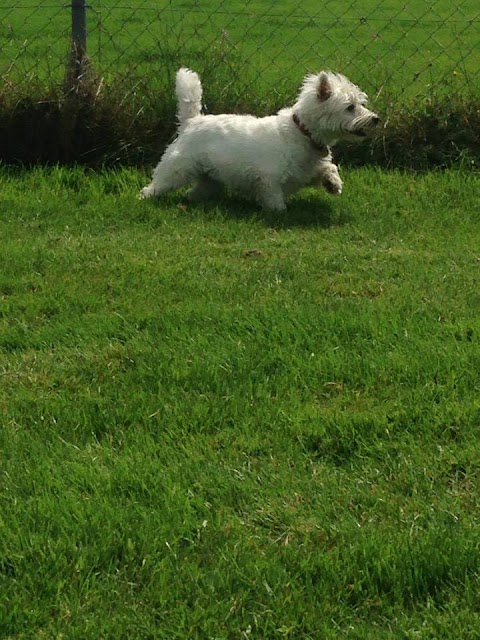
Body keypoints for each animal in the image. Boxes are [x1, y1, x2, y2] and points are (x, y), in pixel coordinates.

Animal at [140, 69, 378, 211]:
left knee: (197, 191)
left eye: (361, 104)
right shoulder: (268, 178)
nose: (376, 119)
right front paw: (279, 212)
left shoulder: (306, 170)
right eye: (350, 107)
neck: (303, 133)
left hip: (211, 178)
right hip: (178, 169)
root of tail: (192, 121)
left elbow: (329, 167)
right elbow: (273, 198)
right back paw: (146, 197)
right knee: (156, 185)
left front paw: (333, 184)